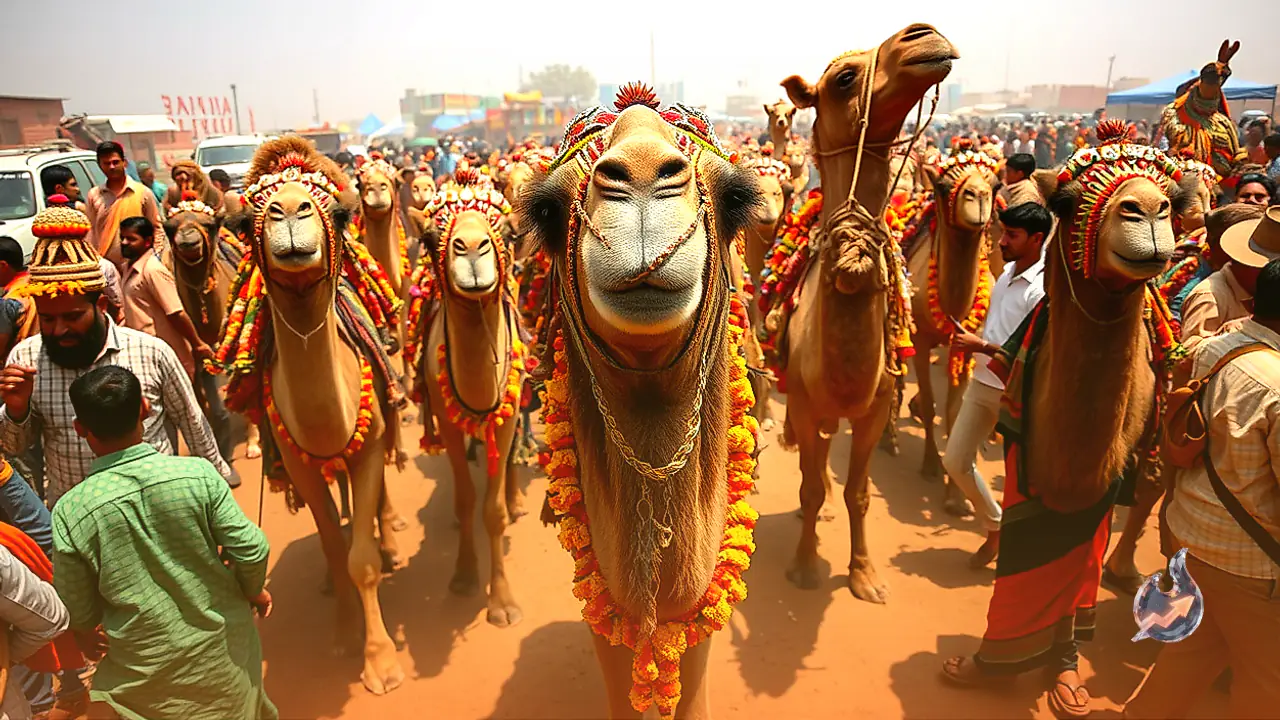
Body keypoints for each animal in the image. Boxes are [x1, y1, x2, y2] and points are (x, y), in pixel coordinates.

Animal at [163, 194, 262, 460]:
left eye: (210, 224)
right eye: (169, 227)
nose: (188, 241)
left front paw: (253, 445)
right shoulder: (194, 355)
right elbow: (199, 400)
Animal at [226, 137, 406, 694]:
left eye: (339, 212)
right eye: (248, 218)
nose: (289, 211)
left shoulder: (368, 443)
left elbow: (361, 560)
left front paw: (381, 662)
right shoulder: (298, 463)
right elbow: (332, 547)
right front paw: (345, 635)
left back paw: (391, 543)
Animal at [776, 23, 958, 603]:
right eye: (843, 78)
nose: (924, 37)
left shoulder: (875, 407)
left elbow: (858, 493)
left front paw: (865, 575)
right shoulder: (805, 402)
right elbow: (810, 489)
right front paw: (804, 566)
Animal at [899, 150, 998, 514]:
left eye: (995, 185)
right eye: (943, 186)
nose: (978, 196)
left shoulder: (965, 346)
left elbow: (954, 413)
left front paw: (955, 496)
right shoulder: (921, 341)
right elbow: (930, 404)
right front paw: (930, 465)